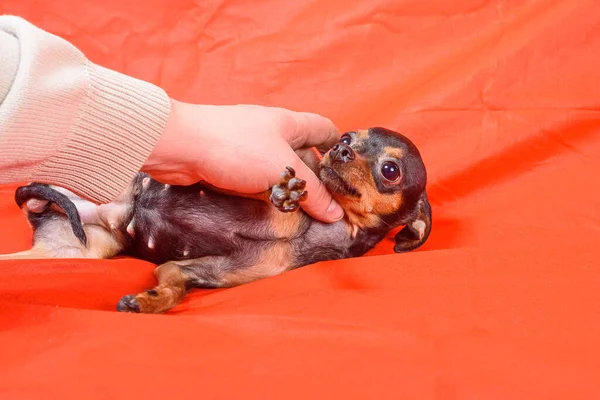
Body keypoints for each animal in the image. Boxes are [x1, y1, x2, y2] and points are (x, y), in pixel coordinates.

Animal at [0, 126, 432, 314]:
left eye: (390, 170)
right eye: (345, 138)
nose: (339, 151)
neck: (316, 228)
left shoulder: (195, 270)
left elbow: (174, 288)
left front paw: (149, 301)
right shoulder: (228, 176)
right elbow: (267, 187)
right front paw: (283, 194)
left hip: (73, 251)